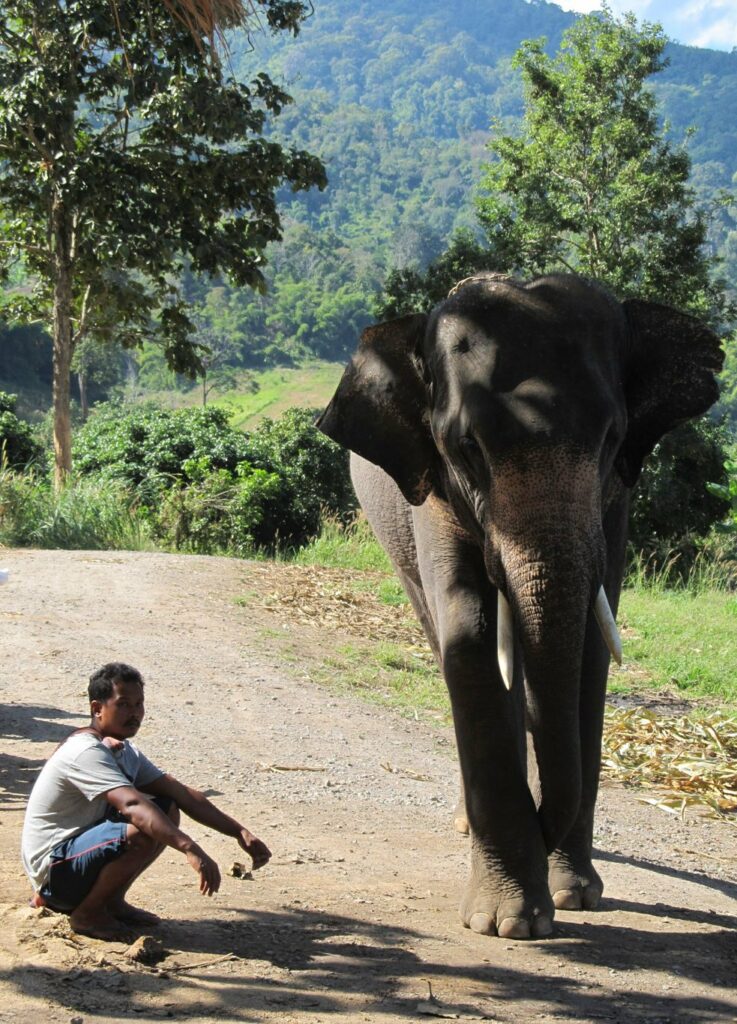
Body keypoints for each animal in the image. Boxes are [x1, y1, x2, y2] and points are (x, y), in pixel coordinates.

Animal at [317, 272, 723, 940]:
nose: (540, 824)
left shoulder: (616, 500)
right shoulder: (433, 488)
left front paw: (575, 895)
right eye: (466, 447)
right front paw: (510, 924)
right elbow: (474, 635)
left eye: (612, 438)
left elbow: (589, 648)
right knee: (443, 637)